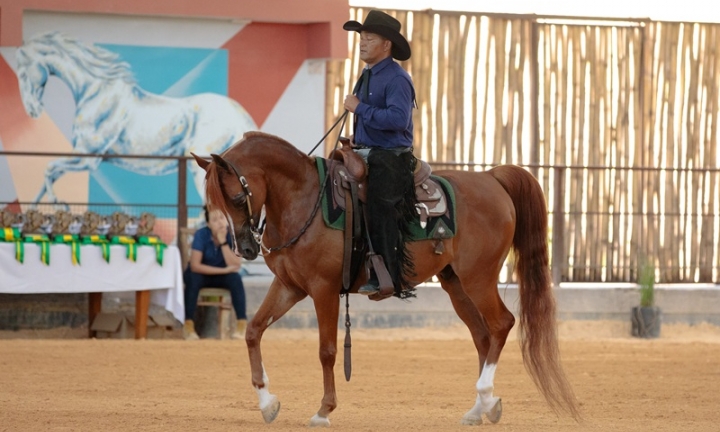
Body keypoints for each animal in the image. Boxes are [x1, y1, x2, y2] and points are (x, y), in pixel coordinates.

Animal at [15, 31, 256, 204]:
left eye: (24, 73)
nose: (33, 110)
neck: (95, 92)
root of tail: (238, 113)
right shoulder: (83, 156)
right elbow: (46, 179)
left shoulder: (88, 157)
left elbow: (49, 169)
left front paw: (59, 204)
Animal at [193, 132, 580, 427]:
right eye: (213, 204)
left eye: (236, 196)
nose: (244, 247)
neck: (303, 200)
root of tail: (492, 177)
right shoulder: (290, 287)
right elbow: (253, 331)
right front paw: (268, 403)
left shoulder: (323, 289)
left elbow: (327, 350)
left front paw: (324, 410)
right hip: (456, 284)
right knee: (483, 336)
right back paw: (479, 409)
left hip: (479, 277)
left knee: (501, 324)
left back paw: (486, 396)